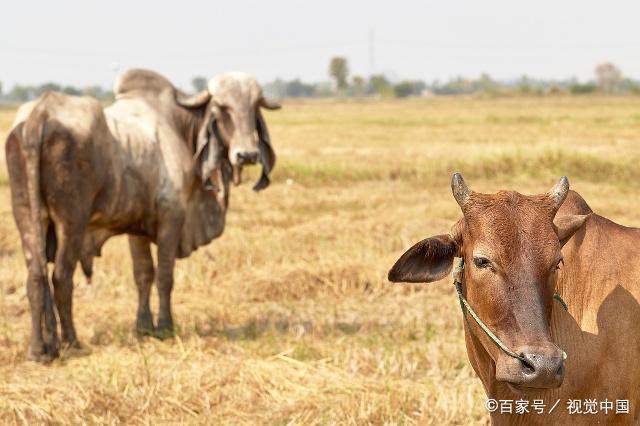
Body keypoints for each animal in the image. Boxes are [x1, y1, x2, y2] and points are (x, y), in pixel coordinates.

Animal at [5, 70, 280, 362]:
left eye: (254, 107)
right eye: (223, 109)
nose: (247, 154)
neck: (178, 125)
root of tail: (40, 113)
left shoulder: (137, 229)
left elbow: (143, 274)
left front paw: (143, 327)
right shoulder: (172, 217)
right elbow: (164, 276)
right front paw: (166, 327)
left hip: (28, 216)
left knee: (36, 276)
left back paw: (41, 349)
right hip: (71, 222)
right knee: (61, 278)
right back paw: (71, 342)